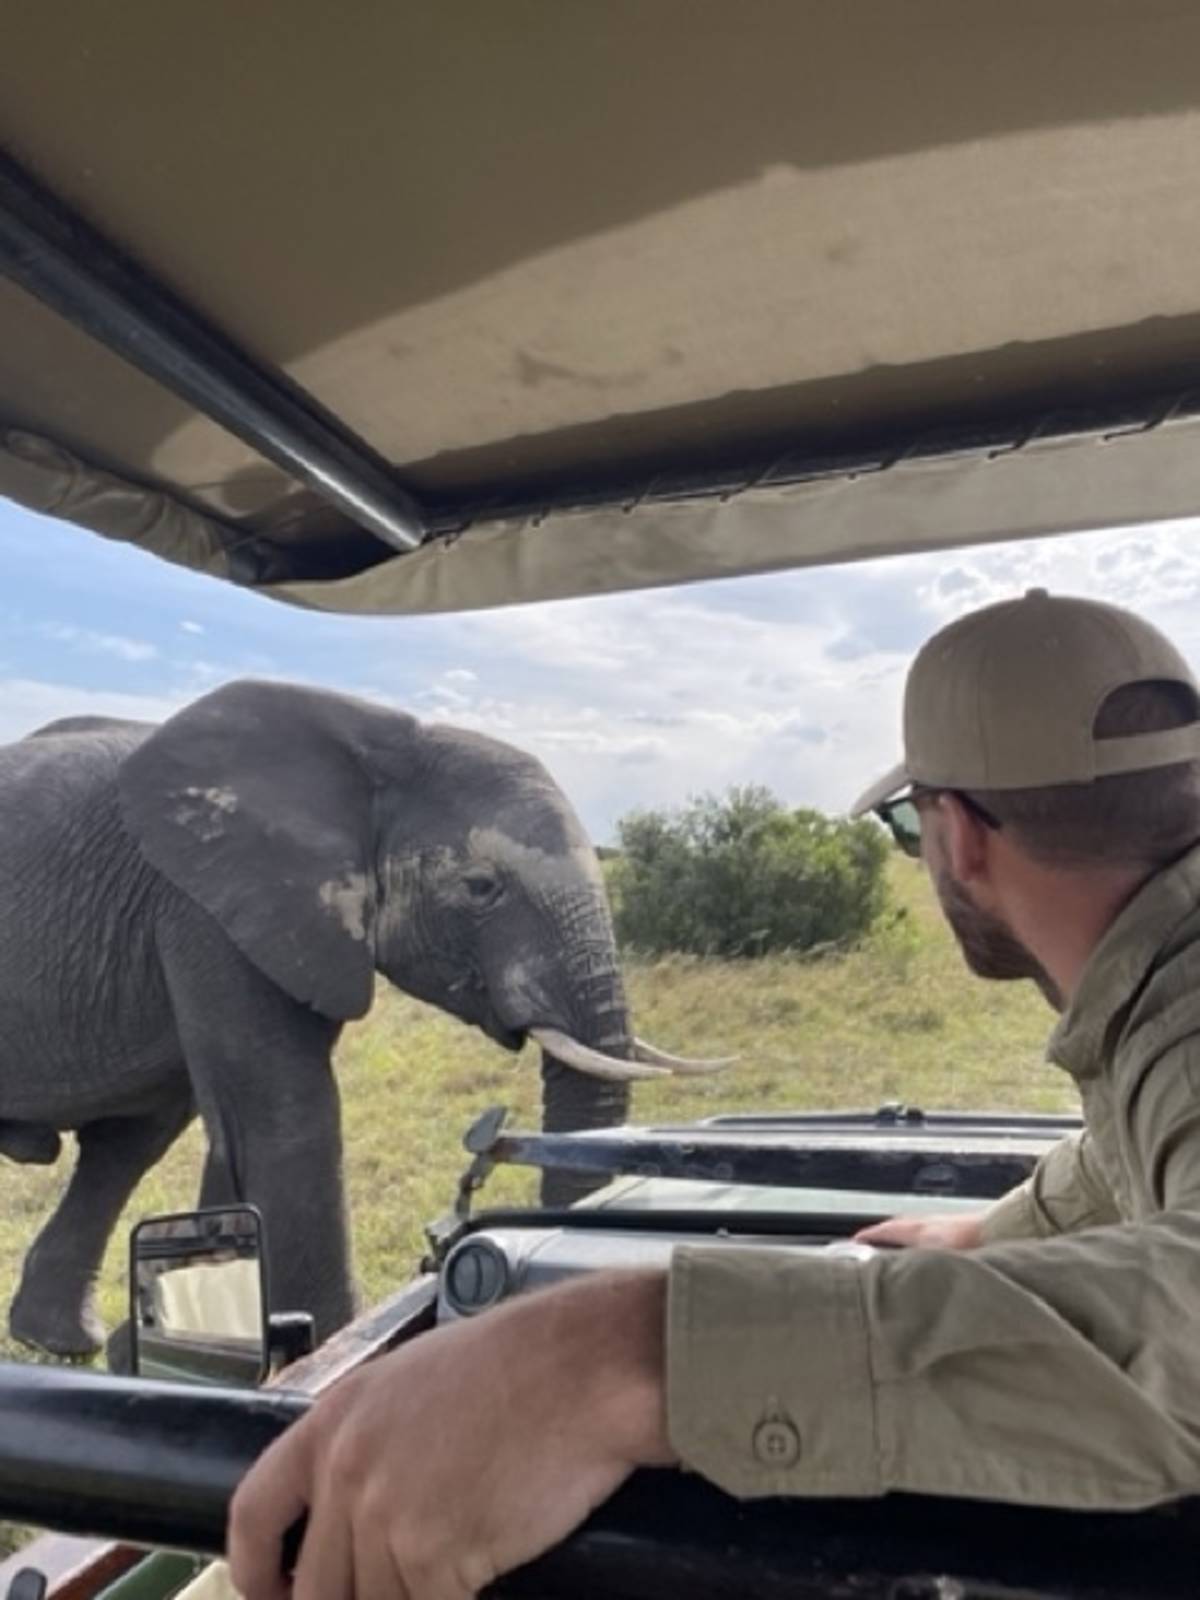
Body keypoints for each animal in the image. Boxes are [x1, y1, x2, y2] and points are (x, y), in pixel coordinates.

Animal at [0, 680, 721, 1358]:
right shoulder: (206, 907)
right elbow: (287, 1113)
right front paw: (322, 1342)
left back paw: (62, 1343)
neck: (384, 744)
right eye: (481, 888)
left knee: (127, 1142)